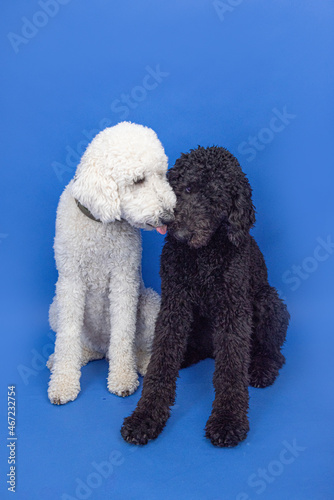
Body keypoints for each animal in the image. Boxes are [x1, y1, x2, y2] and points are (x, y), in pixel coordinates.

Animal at [48, 122, 176, 406]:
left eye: (162, 175)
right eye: (138, 180)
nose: (169, 216)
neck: (100, 222)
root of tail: (101, 349)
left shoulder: (124, 279)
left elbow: (123, 333)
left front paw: (123, 378)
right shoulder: (70, 282)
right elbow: (67, 337)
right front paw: (63, 383)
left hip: (151, 305)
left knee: (139, 345)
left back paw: (142, 362)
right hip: (54, 309)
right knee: (81, 344)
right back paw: (77, 356)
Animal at [120, 146, 290, 448]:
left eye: (217, 198)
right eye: (187, 188)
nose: (181, 234)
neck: (202, 258)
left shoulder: (233, 311)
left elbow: (231, 369)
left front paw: (228, 420)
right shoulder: (174, 304)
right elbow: (162, 361)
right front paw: (145, 417)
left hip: (268, 301)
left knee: (274, 350)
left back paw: (262, 367)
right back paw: (188, 355)